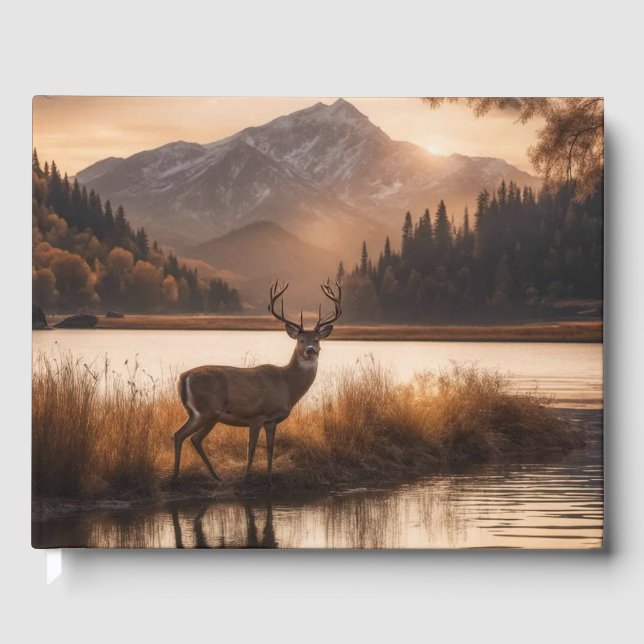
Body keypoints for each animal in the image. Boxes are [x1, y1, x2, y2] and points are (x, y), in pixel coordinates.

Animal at [172, 279, 342, 488]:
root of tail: (184, 376)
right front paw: (245, 480)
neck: (287, 385)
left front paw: (269, 482)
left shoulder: (272, 420)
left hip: (203, 413)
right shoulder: (257, 414)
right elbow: (251, 450)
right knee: (185, 436)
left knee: (187, 437)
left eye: (317, 340)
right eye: (301, 340)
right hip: (208, 411)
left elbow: (270, 450)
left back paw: (206, 476)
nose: (310, 350)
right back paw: (182, 477)